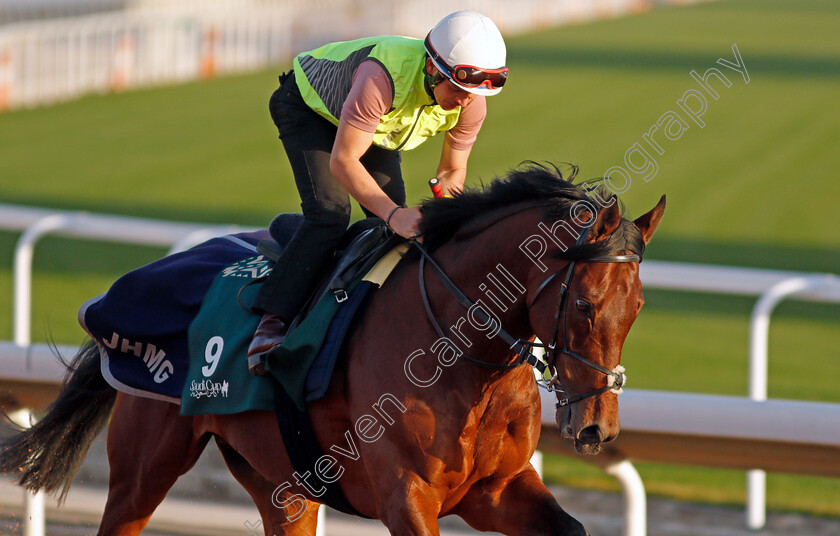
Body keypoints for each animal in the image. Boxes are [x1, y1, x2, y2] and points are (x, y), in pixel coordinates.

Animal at [3, 164, 668, 536]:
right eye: (585, 305)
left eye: (637, 307)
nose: (596, 428)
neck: (461, 355)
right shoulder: (407, 496)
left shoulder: (495, 490)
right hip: (145, 466)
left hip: (282, 486)